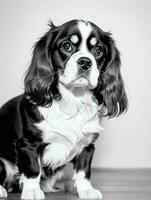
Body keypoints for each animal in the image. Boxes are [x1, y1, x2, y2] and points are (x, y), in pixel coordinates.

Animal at [0, 19, 128, 198]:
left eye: (98, 50)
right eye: (67, 46)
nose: (85, 62)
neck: (73, 100)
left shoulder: (87, 145)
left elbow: (83, 171)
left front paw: (85, 190)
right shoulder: (28, 143)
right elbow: (33, 168)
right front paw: (32, 190)